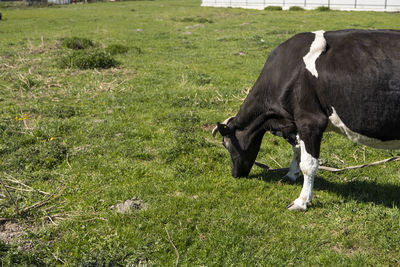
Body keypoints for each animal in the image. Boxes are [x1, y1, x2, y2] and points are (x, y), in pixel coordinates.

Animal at [212, 29, 400, 211]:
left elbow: (308, 164)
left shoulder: (310, 121)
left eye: (226, 145)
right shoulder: (295, 124)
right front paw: (290, 174)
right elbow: (297, 151)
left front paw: (301, 201)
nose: (235, 174)